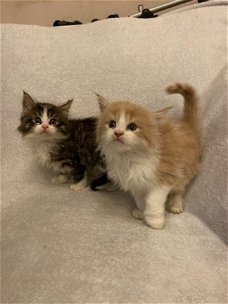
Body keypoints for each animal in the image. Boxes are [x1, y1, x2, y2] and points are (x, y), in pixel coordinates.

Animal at [96, 83, 201, 228]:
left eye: (132, 127)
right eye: (112, 124)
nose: (118, 133)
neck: (129, 157)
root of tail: (185, 125)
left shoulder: (165, 176)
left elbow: (152, 200)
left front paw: (154, 221)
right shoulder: (136, 182)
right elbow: (141, 200)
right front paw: (141, 213)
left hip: (185, 168)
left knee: (179, 189)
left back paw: (175, 205)